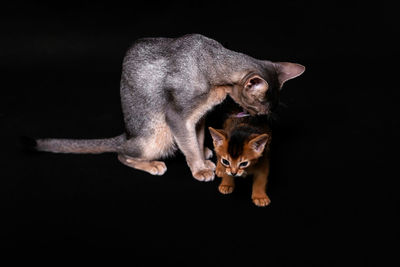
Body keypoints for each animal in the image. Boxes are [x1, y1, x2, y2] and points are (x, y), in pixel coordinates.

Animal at [32, 34, 304, 182]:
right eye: (259, 105)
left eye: (265, 110)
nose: (260, 116)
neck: (213, 64)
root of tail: (127, 134)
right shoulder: (177, 116)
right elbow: (188, 144)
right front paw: (199, 168)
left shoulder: (199, 116)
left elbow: (196, 137)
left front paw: (204, 156)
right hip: (154, 136)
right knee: (122, 154)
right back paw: (152, 164)